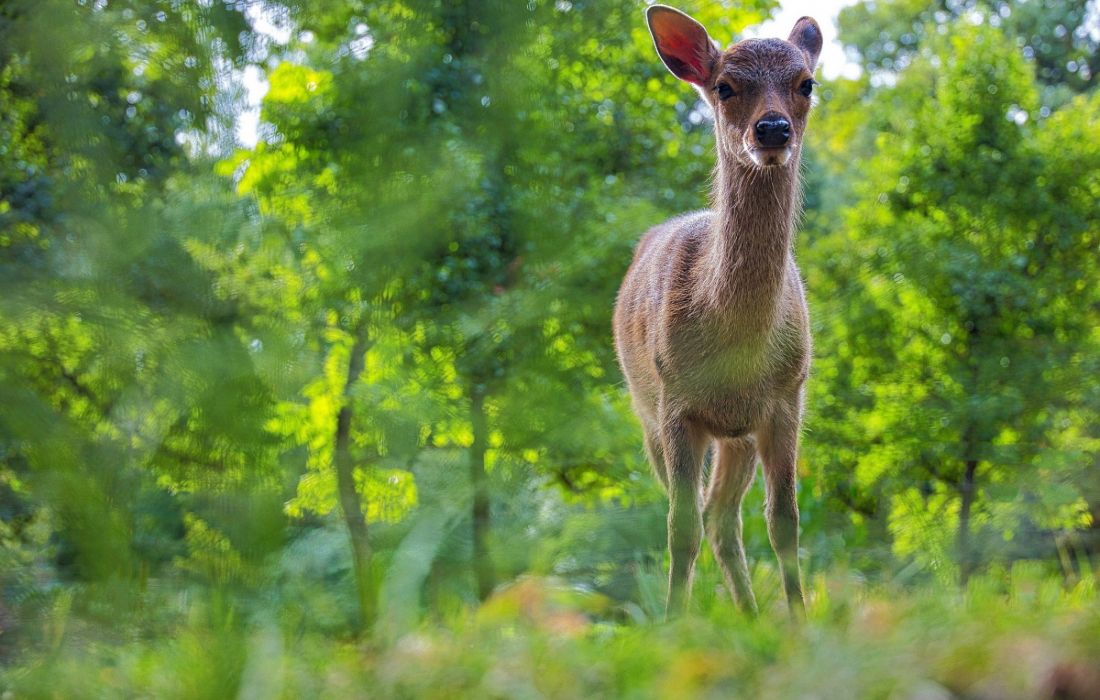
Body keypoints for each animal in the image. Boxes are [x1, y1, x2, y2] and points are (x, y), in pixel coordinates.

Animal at [616, 6, 822, 616]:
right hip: (646, 413)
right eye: (725, 86)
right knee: (703, 515)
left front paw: (801, 621)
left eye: (807, 83)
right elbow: (677, 528)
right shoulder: (676, 406)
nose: (772, 129)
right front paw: (672, 623)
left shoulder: (785, 400)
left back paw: (751, 617)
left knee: (722, 517)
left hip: (739, 437)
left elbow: (785, 524)